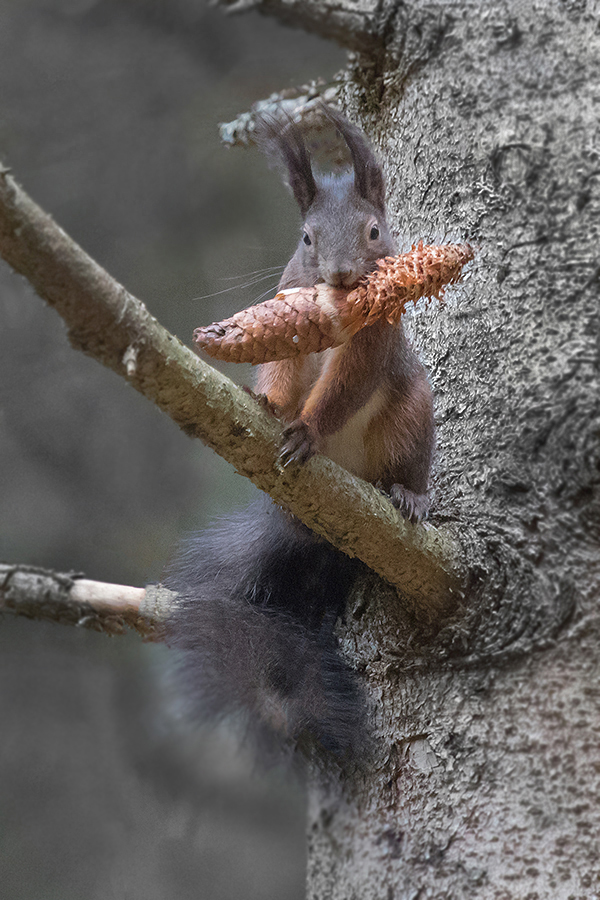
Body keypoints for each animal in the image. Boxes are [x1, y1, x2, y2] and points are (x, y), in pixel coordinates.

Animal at [166, 109, 434, 764]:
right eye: (306, 238)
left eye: (374, 231)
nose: (338, 276)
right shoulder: (285, 307)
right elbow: (280, 365)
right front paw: (270, 402)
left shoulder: (374, 341)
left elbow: (344, 387)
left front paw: (308, 429)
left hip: (410, 419)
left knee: (406, 460)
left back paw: (409, 494)